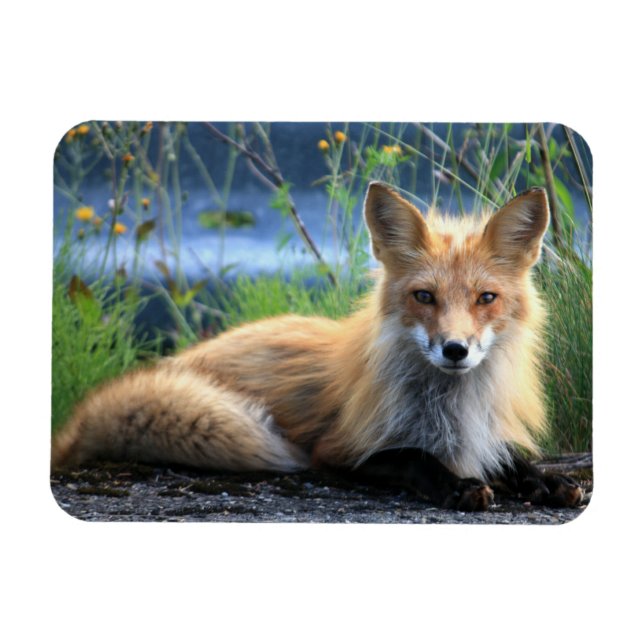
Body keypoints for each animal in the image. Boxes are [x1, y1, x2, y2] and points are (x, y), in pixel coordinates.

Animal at [52, 182, 583, 512]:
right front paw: (460, 485)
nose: (455, 350)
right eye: (424, 297)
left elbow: (511, 457)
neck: (451, 407)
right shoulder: (340, 450)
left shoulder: (485, 431)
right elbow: (415, 457)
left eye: (485, 298)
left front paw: (547, 480)